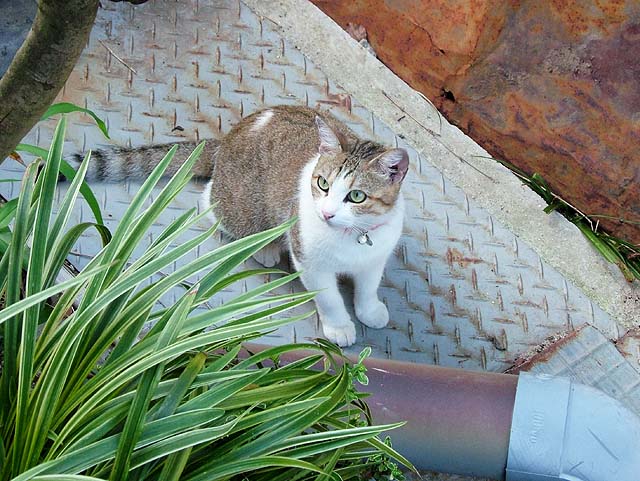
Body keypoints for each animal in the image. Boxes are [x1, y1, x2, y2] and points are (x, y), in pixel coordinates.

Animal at [79, 105, 409, 346]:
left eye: (356, 196)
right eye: (323, 184)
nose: (326, 214)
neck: (353, 237)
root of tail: (231, 136)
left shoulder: (375, 257)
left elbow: (368, 286)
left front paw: (369, 309)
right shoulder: (309, 260)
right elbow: (327, 297)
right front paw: (339, 325)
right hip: (240, 207)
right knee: (209, 201)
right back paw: (264, 247)